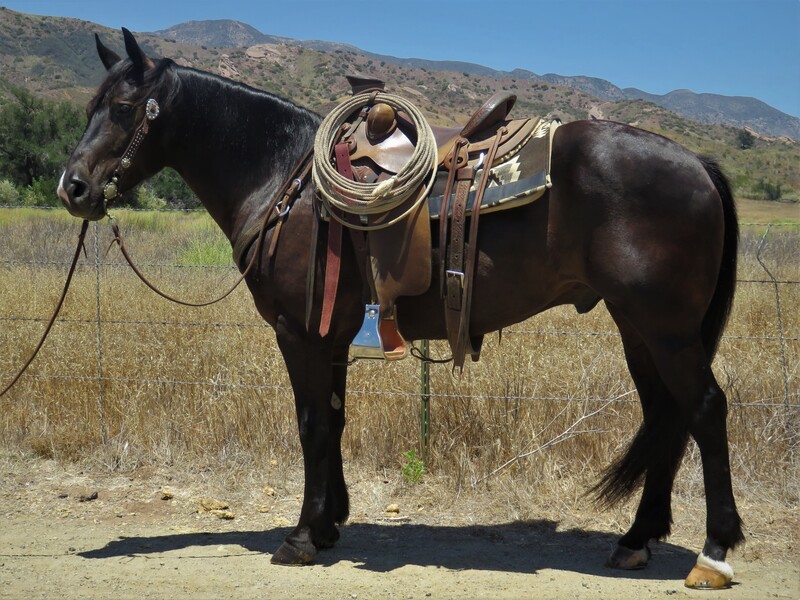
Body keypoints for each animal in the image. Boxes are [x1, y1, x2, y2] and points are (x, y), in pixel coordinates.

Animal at [57, 30, 744, 588]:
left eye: (123, 109)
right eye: (89, 107)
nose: (74, 188)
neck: (284, 180)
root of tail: (699, 163)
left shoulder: (299, 334)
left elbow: (311, 425)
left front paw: (301, 537)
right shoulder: (330, 338)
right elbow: (333, 422)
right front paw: (329, 524)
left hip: (666, 329)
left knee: (705, 411)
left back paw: (713, 553)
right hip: (639, 328)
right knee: (666, 414)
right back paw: (636, 540)